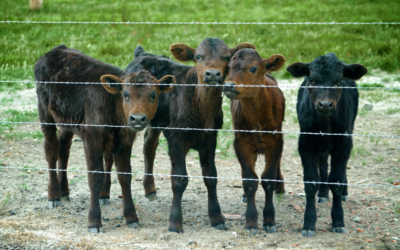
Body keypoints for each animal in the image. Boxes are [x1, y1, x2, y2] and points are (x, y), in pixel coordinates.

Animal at [32, 44, 173, 232]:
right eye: (125, 94)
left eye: (153, 95)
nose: (137, 119)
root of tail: (56, 50)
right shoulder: (92, 139)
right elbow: (95, 177)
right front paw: (94, 221)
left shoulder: (124, 142)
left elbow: (125, 176)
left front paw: (131, 217)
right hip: (45, 113)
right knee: (51, 149)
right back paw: (54, 195)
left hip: (67, 120)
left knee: (64, 147)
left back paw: (64, 191)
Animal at [223, 47, 286, 235]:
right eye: (228, 68)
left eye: (253, 68)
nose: (228, 85)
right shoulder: (242, 143)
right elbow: (250, 180)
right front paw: (251, 221)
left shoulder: (275, 141)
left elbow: (268, 179)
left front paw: (270, 220)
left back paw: (281, 186)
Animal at [286, 52, 368, 236]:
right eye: (312, 79)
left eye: (339, 81)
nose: (325, 104)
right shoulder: (305, 143)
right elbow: (311, 182)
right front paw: (309, 223)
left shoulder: (343, 143)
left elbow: (336, 180)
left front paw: (338, 220)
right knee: (323, 165)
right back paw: (323, 194)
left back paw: (344, 192)